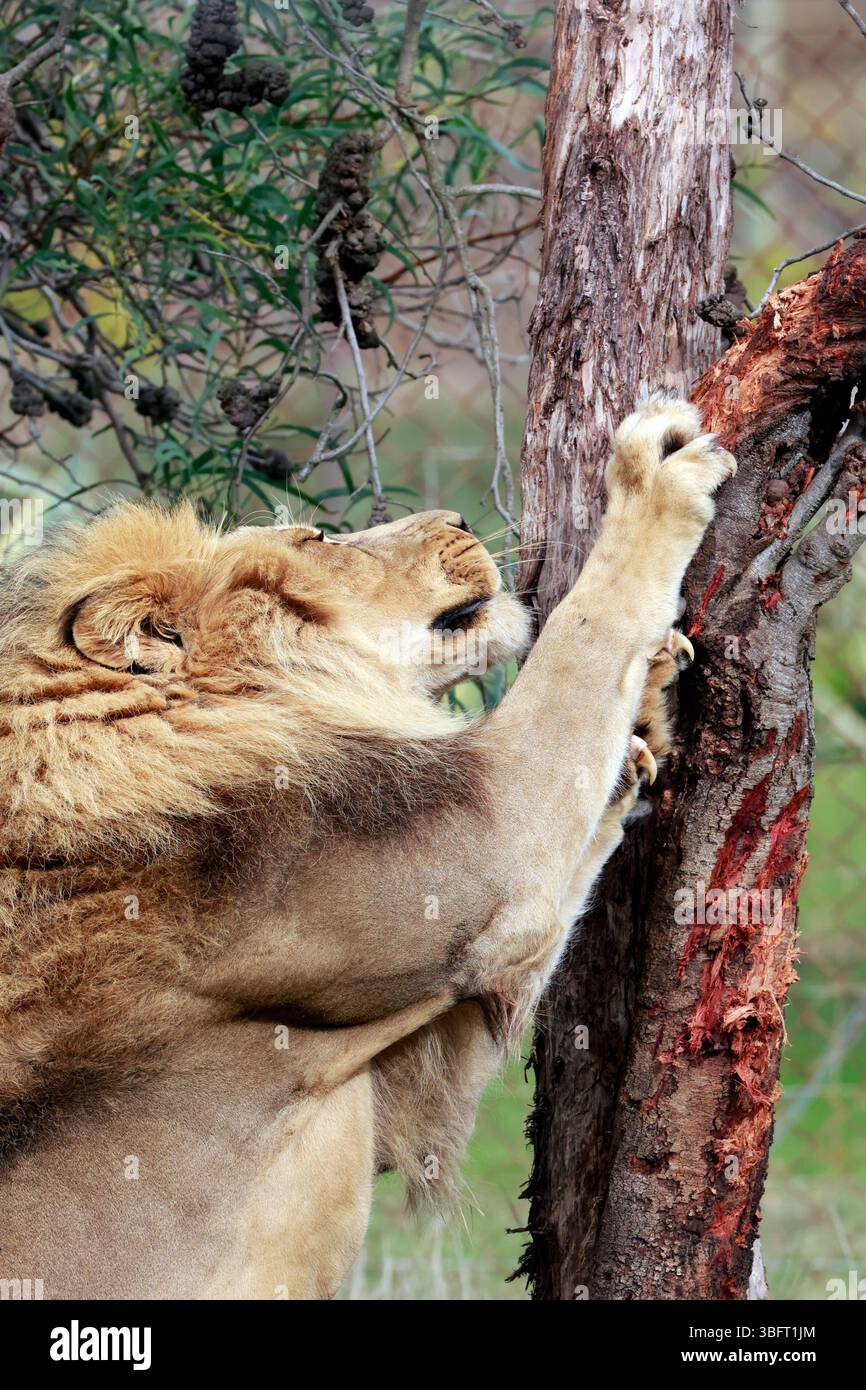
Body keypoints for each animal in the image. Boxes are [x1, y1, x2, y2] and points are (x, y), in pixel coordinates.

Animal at [0, 399, 734, 1299]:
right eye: (318, 539)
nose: (460, 519)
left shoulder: (413, 1075)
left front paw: (652, 701)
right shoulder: (486, 843)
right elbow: (579, 641)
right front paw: (653, 473)